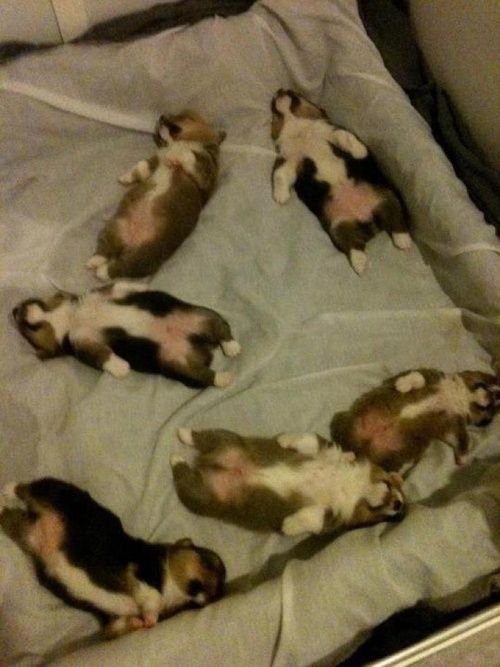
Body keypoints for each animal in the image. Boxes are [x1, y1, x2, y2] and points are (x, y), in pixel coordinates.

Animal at [10, 282, 239, 392]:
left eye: (25, 326)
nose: (13, 310)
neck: (69, 317)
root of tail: (205, 349)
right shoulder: (83, 342)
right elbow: (102, 355)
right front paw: (121, 368)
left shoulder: (103, 293)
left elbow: (120, 284)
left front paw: (143, 286)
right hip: (176, 362)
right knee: (203, 375)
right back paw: (224, 377)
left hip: (201, 315)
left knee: (222, 328)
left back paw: (232, 348)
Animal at [87, 112, 225, 282]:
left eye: (186, 117)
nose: (161, 116)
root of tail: (131, 242)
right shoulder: (155, 161)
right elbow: (142, 166)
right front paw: (126, 177)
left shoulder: (205, 171)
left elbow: (190, 156)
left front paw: (177, 154)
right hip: (116, 227)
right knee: (106, 250)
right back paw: (94, 261)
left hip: (148, 253)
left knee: (123, 267)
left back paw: (102, 271)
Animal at [170, 428, 404, 536]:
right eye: (390, 484)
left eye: (394, 510)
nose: (398, 503)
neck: (355, 488)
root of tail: (205, 463)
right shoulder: (324, 451)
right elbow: (309, 440)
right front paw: (284, 441)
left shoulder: (331, 519)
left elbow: (315, 517)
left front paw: (289, 525)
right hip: (227, 440)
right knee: (201, 437)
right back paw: (183, 434)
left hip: (203, 497)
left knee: (185, 480)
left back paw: (176, 459)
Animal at [270, 89, 410, 274]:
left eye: (294, 92)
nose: (280, 90)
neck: (297, 126)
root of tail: (366, 218)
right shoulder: (289, 158)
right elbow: (280, 174)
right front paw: (281, 196)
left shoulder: (330, 130)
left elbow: (344, 136)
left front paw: (359, 151)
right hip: (338, 225)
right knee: (353, 245)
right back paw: (360, 264)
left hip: (388, 198)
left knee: (397, 223)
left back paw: (403, 241)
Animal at [330, 368, 498, 472]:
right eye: (487, 384)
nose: (493, 398)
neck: (456, 397)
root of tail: (363, 450)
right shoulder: (427, 374)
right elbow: (418, 376)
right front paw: (403, 386)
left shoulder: (451, 423)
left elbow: (461, 439)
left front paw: (463, 459)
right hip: (345, 420)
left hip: (390, 460)